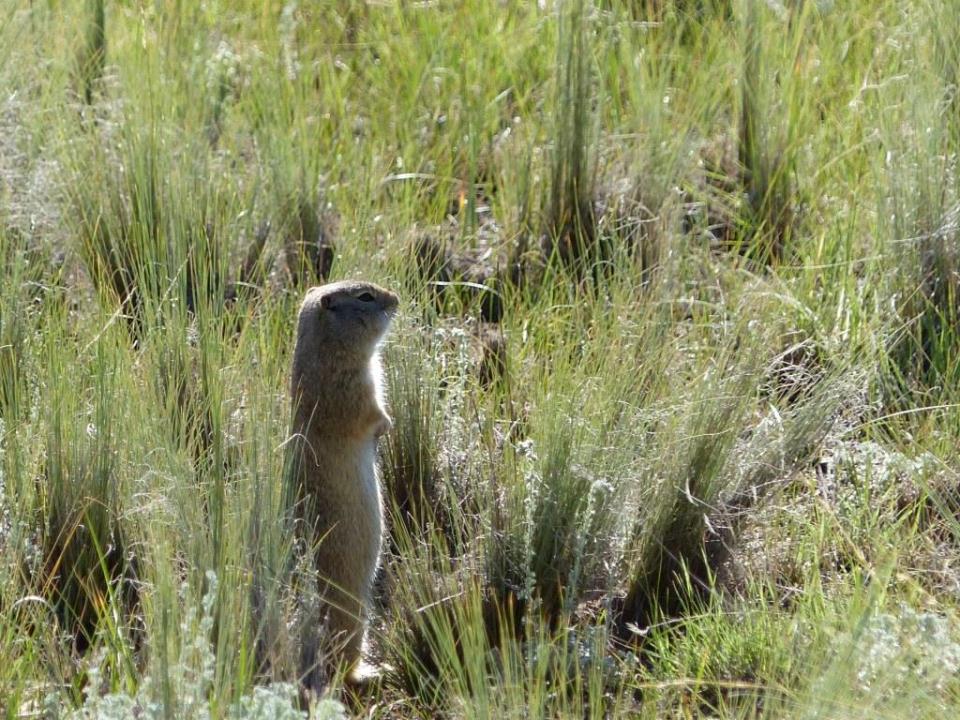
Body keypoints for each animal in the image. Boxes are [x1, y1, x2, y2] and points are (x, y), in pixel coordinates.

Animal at [287, 279, 399, 684]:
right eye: (365, 297)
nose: (396, 299)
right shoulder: (354, 390)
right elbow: (372, 415)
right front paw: (387, 427)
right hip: (353, 618)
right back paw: (374, 670)